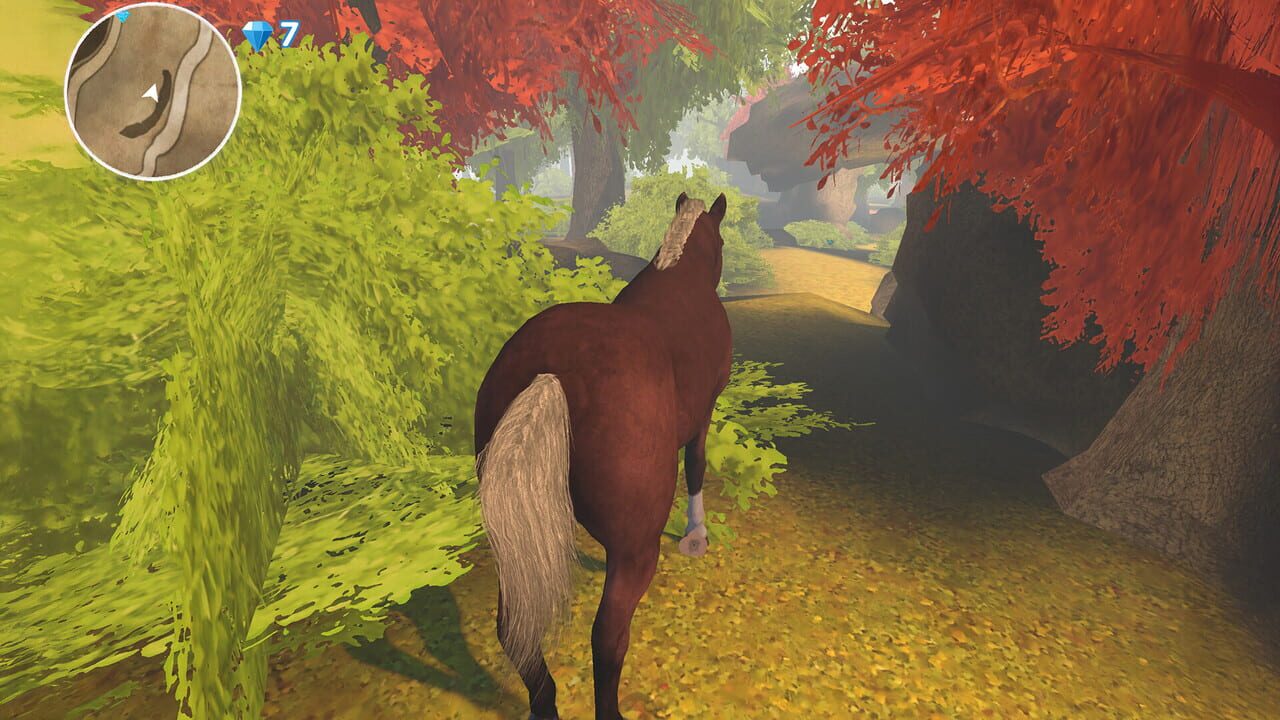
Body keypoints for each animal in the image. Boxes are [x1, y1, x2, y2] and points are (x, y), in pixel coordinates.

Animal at [474, 192, 733, 720]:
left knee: (512, 629)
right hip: (635, 550)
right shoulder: (704, 412)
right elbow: (697, 465)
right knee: (608, 637)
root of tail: (550, 374)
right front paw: (696, 537)